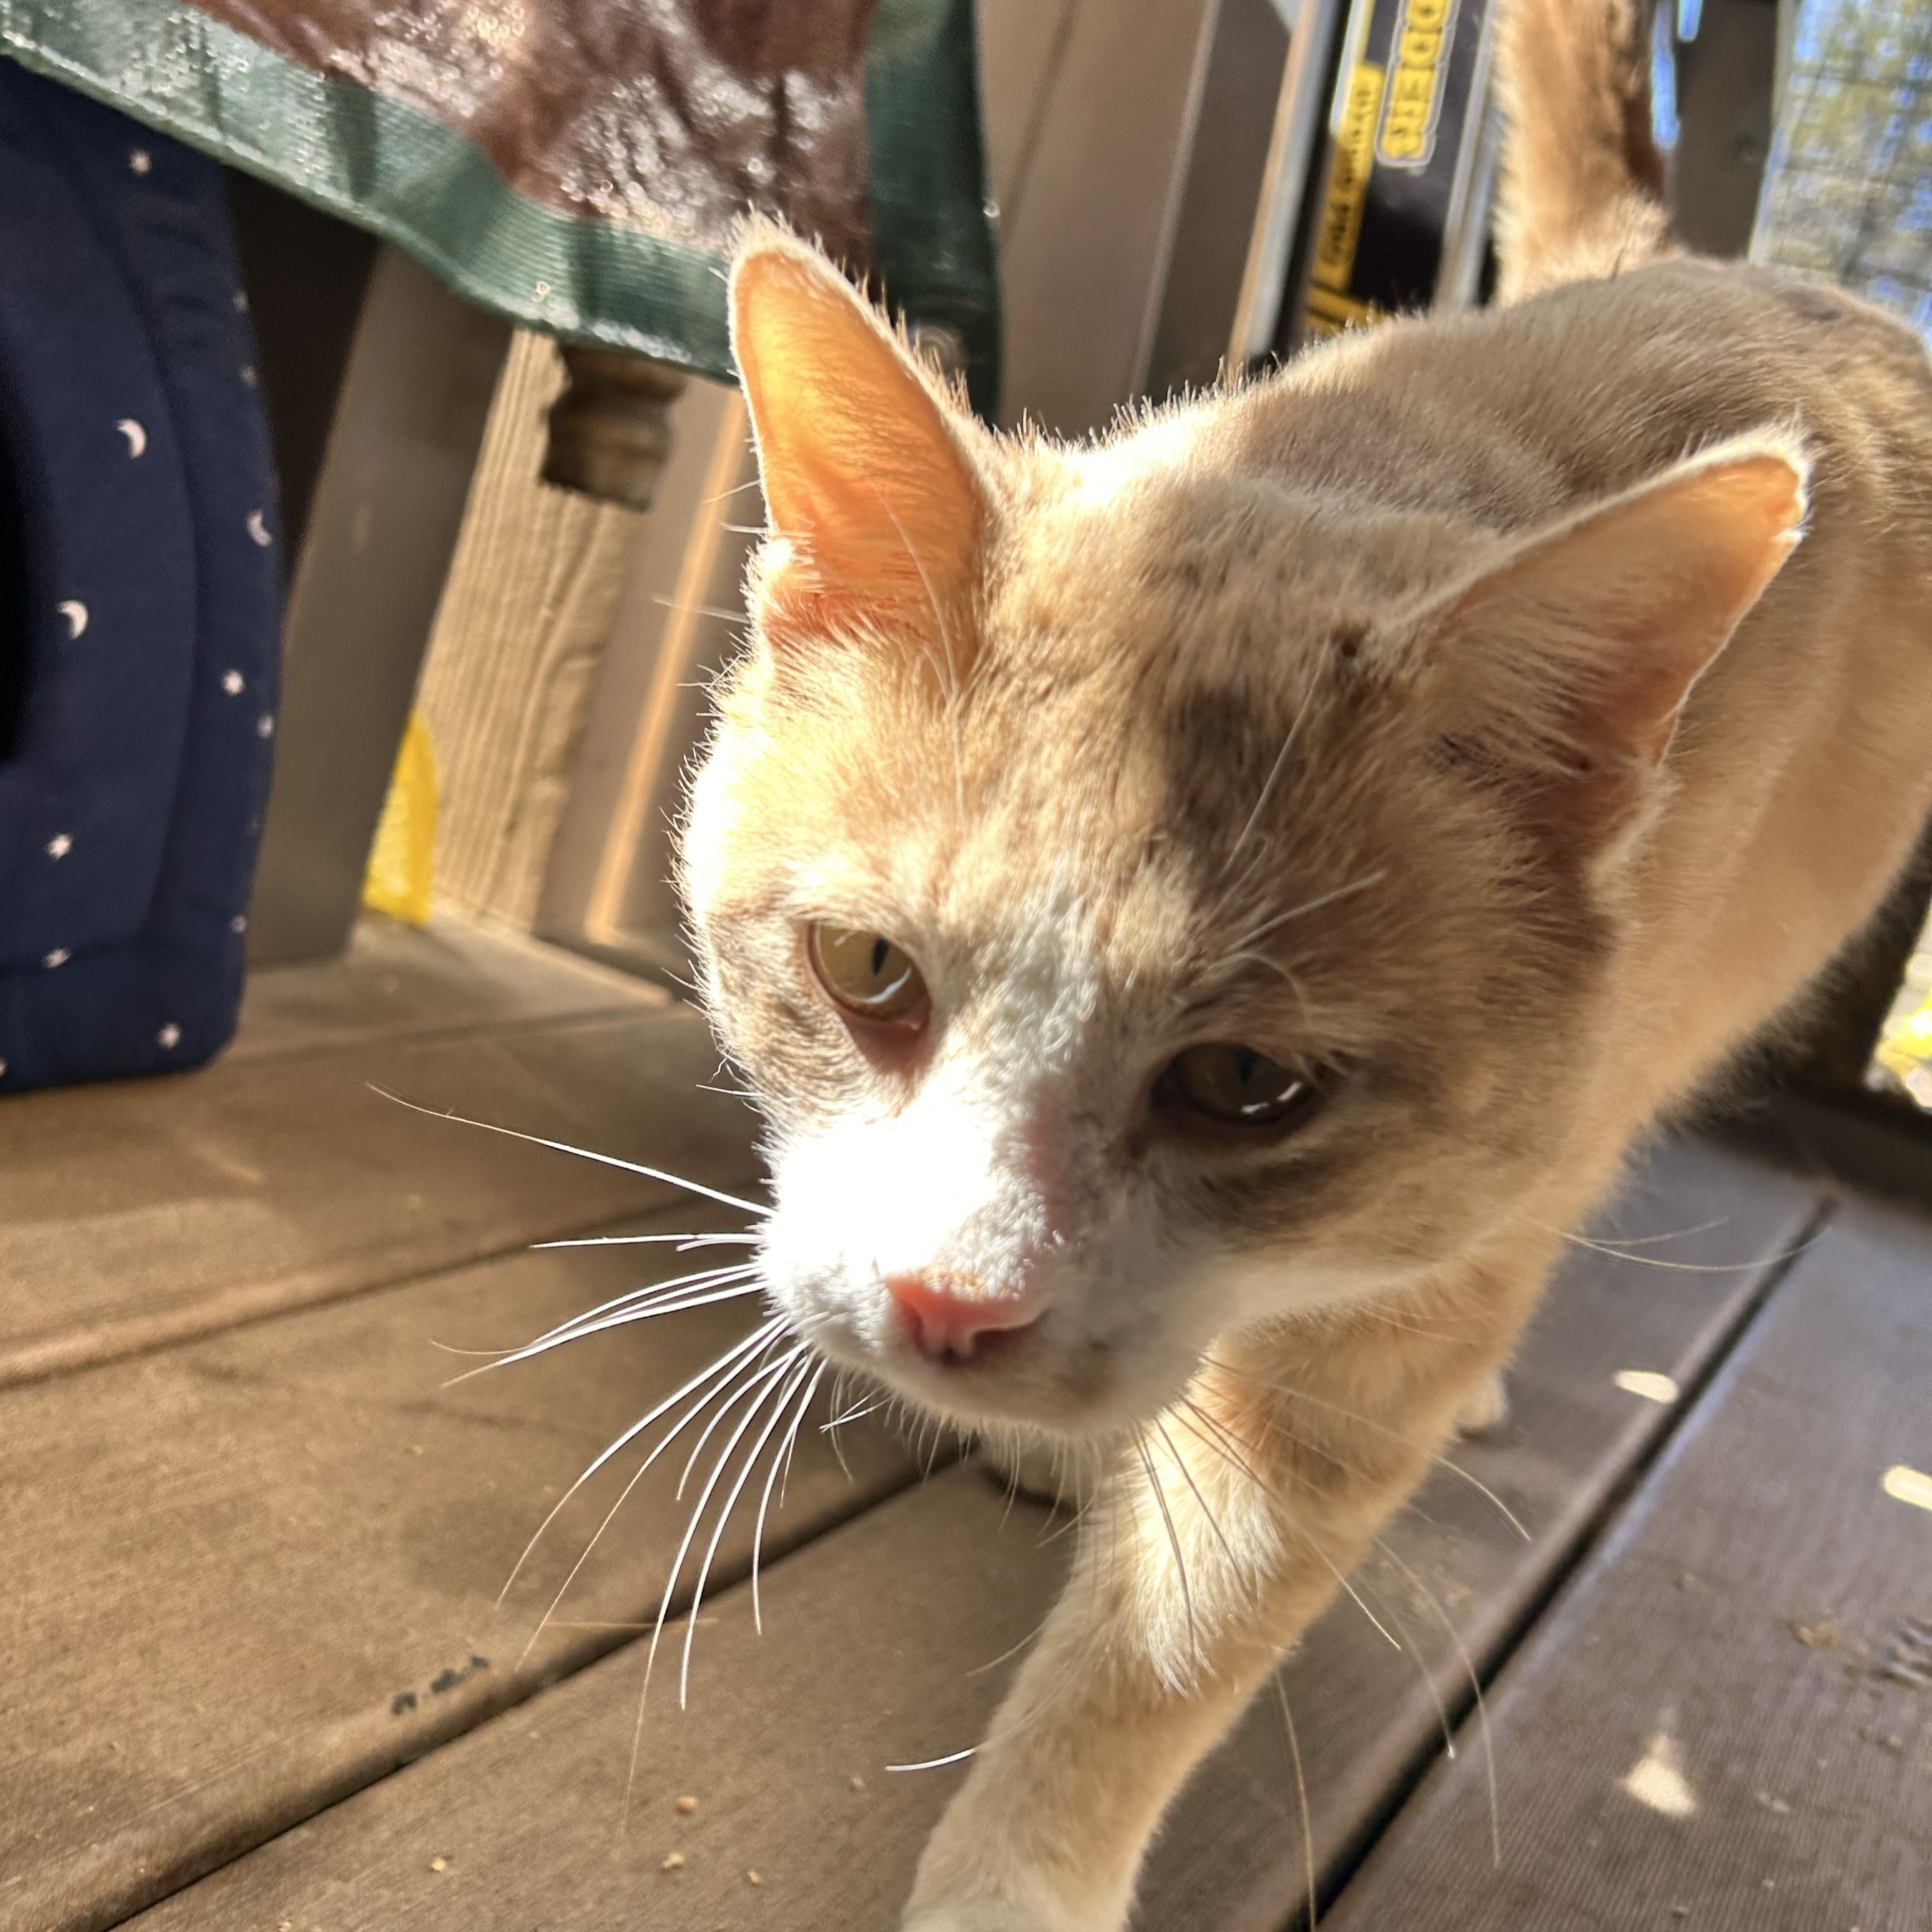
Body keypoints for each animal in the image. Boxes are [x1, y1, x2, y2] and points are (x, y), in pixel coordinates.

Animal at [676, 7, 1932, 1924]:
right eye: (863, 963)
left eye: (1246, 1084)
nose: (944, 1306)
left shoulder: (1387, 1326)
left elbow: (1172, 1631)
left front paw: (1019, 1873)